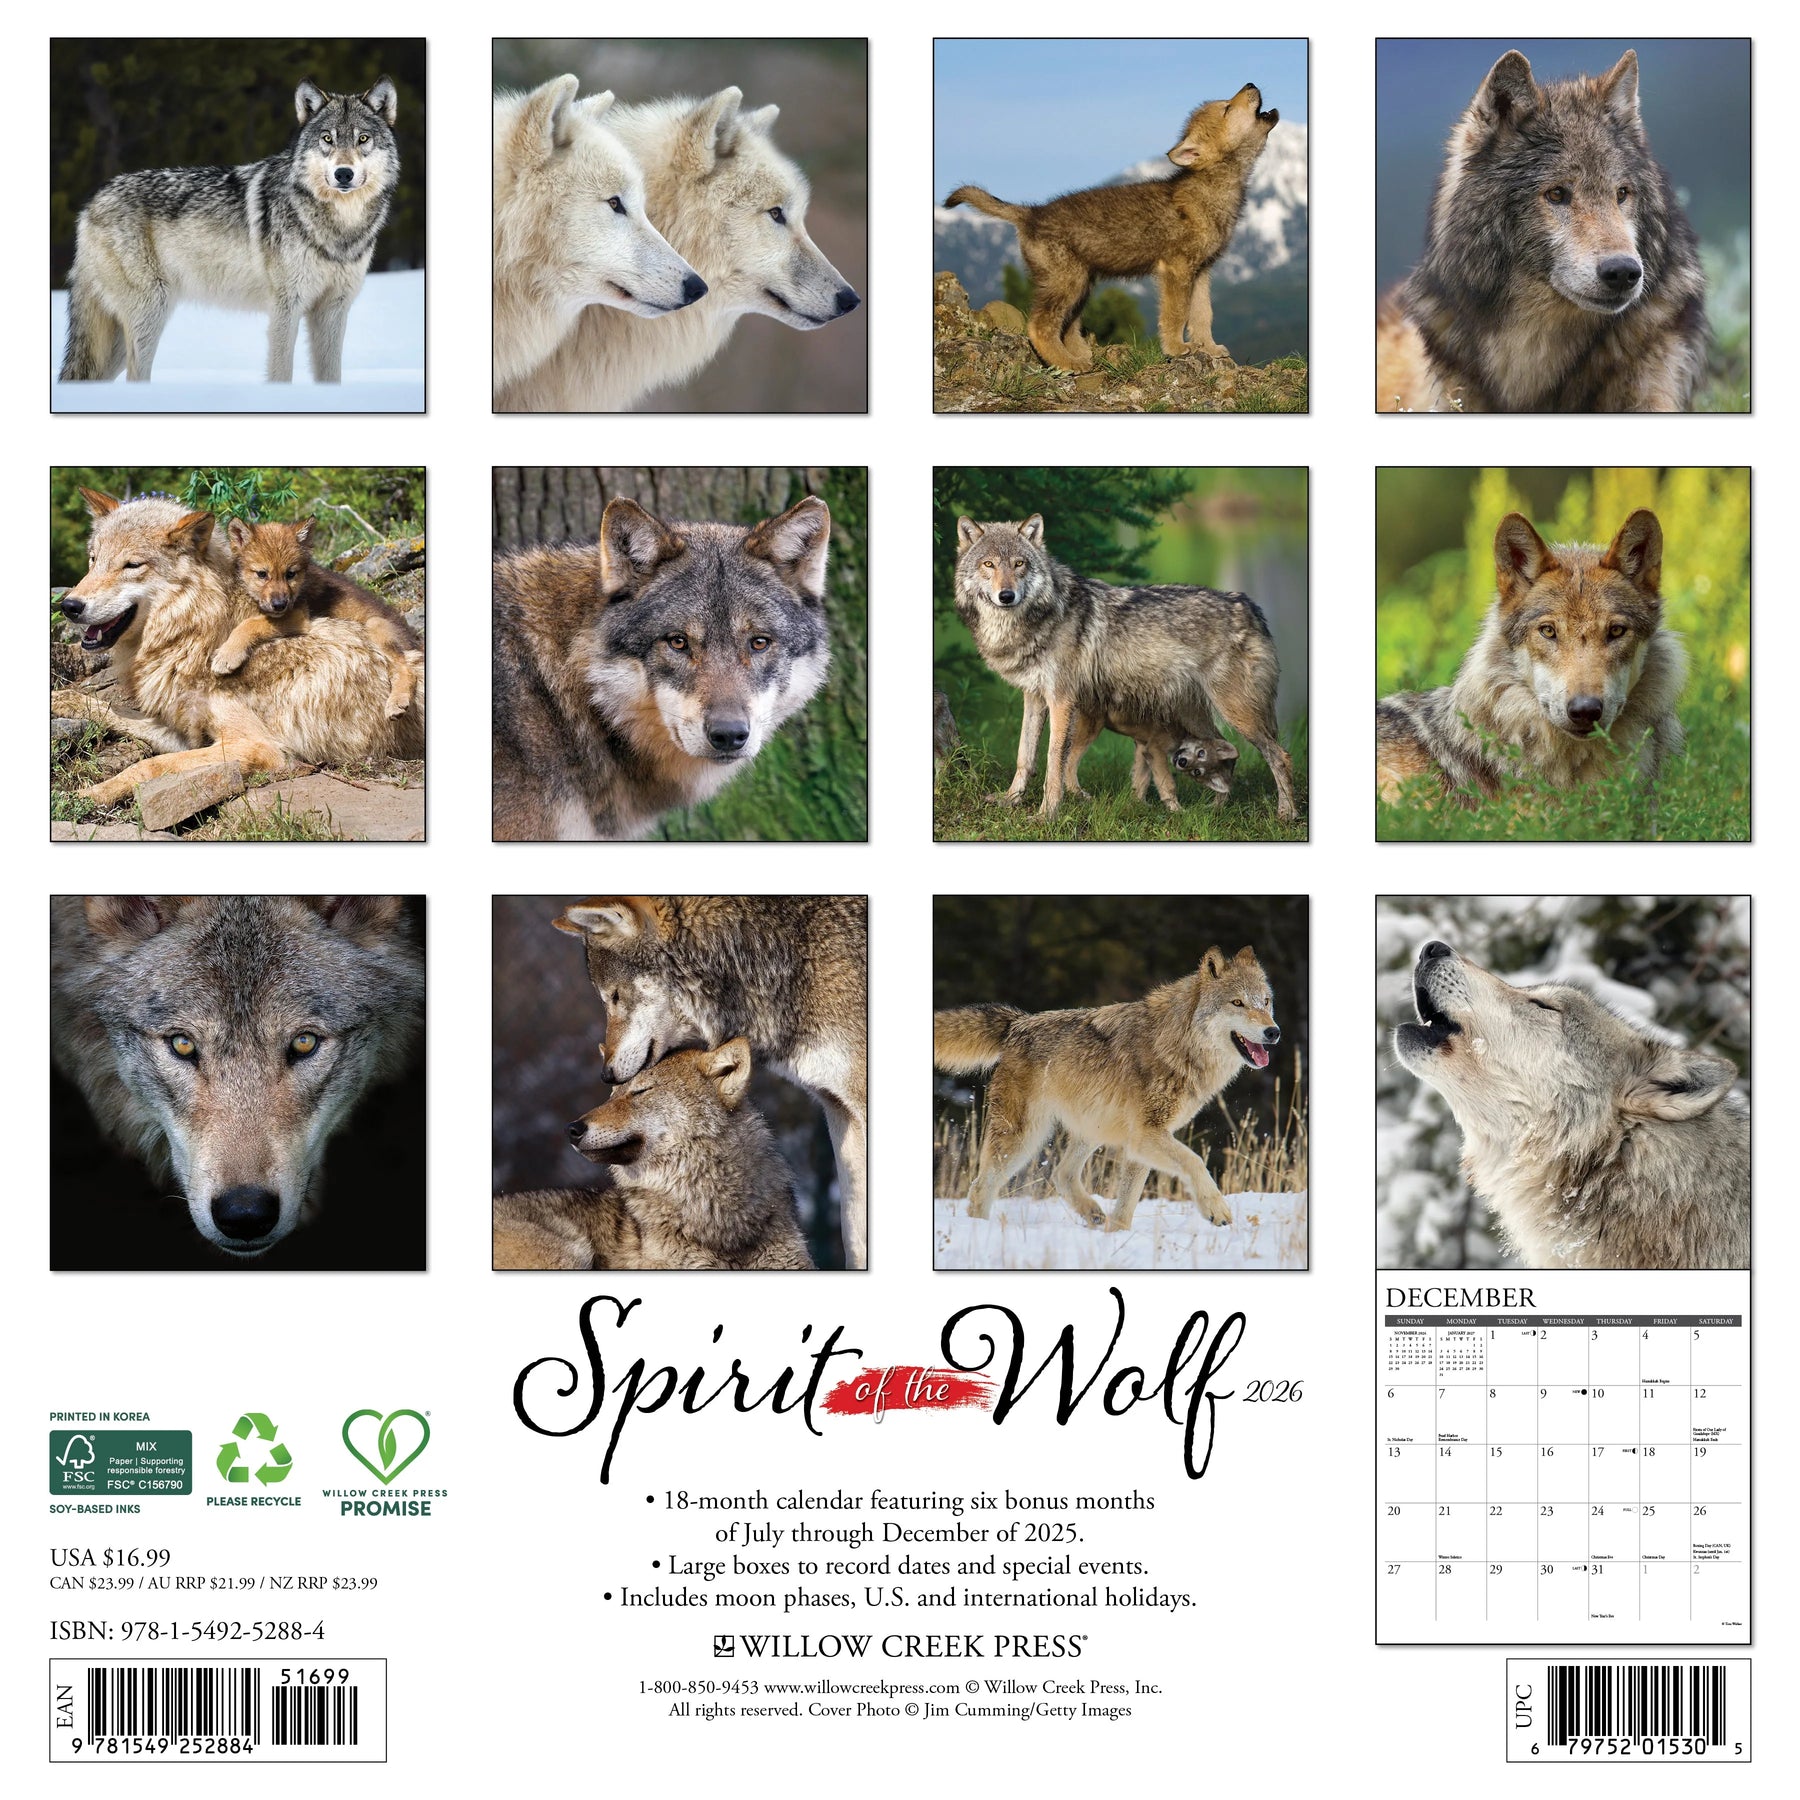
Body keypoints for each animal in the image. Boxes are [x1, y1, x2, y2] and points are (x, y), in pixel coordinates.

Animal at [60, 77, 400, 384]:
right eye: (328, 139)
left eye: (363, 139)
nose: (344, 174)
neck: (339, 227)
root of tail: (91, 203)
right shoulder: (286, 307)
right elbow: (281, 373)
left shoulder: (333, 309)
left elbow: (331, 376)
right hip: (149, 316)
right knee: (135, 376)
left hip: (119, 340)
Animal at [217, 517, 421, 719]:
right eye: (262, 574)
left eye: (290, 574)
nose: (280, 604)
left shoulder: (298, 614)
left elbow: (250, 624)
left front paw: (227, 654)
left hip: (375, 624)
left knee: (408, 668)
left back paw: (397, 702)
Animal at [934, 945, 1279, 1232]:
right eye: (1237, 1002)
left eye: (1265, 1002)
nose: (1273, 1032)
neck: (1179, 1044)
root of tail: (1017, 1024)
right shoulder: (1145, 1135)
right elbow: (1195, 1161)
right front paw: (1216, 1210)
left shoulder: (1144, 1140)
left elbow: (1127, 1202)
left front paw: (1117, 1235)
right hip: (1023, 1137)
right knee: (981, 1186)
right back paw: (980, 1230)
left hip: (1090, 1130)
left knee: (1061, 1174)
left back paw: (1093, 1214)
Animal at [944, 83, 1278, 371]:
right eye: (1226, 107)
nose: (1250, 83)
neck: (1215, 185)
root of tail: (1031, 213)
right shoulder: (1176, 268)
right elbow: (1176, 314)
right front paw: (1176, 349)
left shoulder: (1202, 270)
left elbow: (1202, 315)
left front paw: (1209, 348)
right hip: (1067, 282)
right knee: (1040, 326)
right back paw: (1069, 365)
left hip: (1080, 284)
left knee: (1066, 327)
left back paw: (1081, 356)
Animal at [953, 514, 1296, 819]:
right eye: (989, 564)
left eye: (1019, 564)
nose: (1006, 595)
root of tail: (1250, 606)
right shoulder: (1035, 697)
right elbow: (1024, 755)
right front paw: (1010, 800)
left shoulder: (1061, 700)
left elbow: (1053, 762)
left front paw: (1046, 815)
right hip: (1197, 716)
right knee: (1225, 751)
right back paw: (1214, 809)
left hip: (1238, 713)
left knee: (1279, 755)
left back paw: (1286, 814)